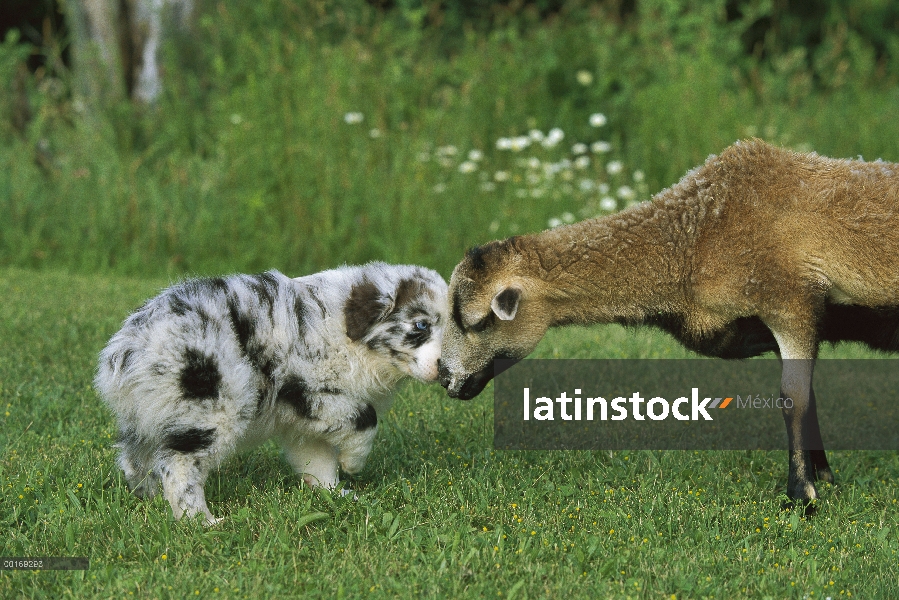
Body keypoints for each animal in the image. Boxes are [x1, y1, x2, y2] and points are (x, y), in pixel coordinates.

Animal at [96, 262, 448, 520]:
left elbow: (317, 459)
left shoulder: (306, 423)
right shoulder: (310, 391)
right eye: (421, 326)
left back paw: (150, 499)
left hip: (148, 415)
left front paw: (333, 493)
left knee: (135, 459)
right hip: (212, 408)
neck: (345, 329)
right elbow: (366, 418)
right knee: (178, 465)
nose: (447, 371)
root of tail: (128, 348)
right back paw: (202, 522)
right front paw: (353, 462)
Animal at [440, 138, 899, 504]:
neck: (692, 238)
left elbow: (793, 397)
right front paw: (823, 475)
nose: (445, 378)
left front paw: (802, 494)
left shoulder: (790, 301)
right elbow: (808, 395)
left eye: (476, 322)